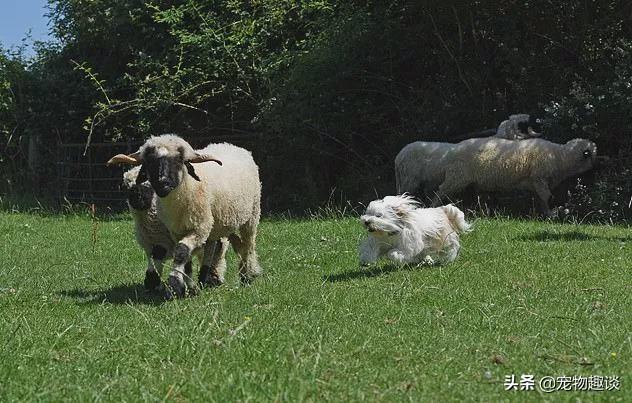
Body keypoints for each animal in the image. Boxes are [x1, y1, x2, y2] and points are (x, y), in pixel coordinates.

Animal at [110, 134, 262, 298]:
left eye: (179, 160)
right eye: (149, 162)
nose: (163, 184)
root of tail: (231, 145)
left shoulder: (197, 229)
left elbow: (181, 252)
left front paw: (175, 284)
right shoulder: (174, 233)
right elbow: (183, 257)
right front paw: (187, 286)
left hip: (251, 216)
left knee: (247, 246)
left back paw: (246, 275)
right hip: (215, 226)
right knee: (214, 248)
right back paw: (206, 278)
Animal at [432, 138, 600, 216]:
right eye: (591, 154)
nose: (597, 167)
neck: (561, 157)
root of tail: (452, 151)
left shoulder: (536, 183)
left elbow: (541, 199)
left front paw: (544, 213)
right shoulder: (539, 179)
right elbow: (546, 197)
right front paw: (551, 214)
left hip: (466, 181)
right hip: (457, 177)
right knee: (440, 191)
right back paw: (433, 205)